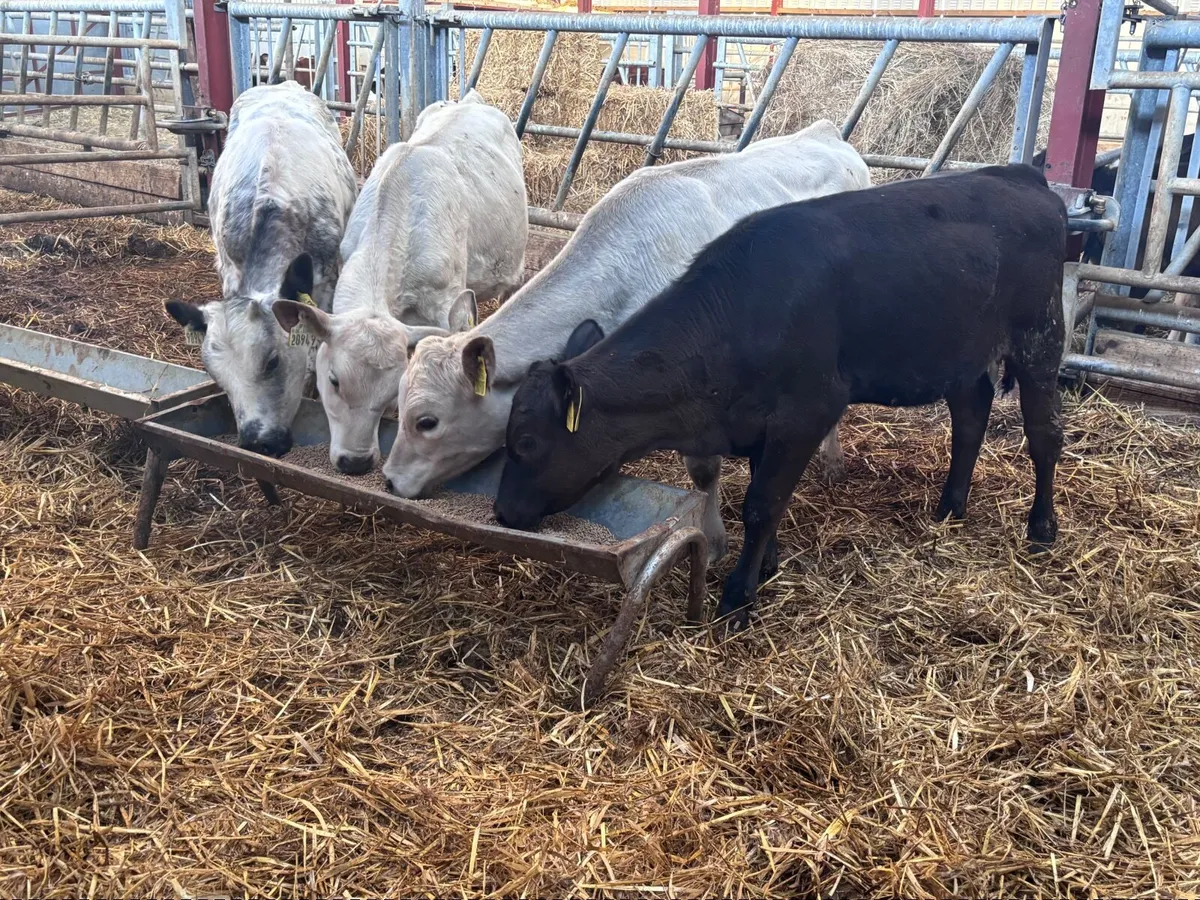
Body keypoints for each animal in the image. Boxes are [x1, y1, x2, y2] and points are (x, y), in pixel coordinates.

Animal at [272, 91, 527, 475]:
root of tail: (470, 99)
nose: (356, 462)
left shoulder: (448, 301)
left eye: (392, 390)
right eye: (334, 380)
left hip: (516, 264)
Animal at [382, 119, 871, 563]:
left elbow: (703, 470)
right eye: (397, 404)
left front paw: (713, 542)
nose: (389, 479)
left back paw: (831, 460)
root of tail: (824, 133)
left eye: (427, 421)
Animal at [494, 164, 1067, 628]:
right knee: (970, 417)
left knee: (1044, 434)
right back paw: (950, 508)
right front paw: (766, 565)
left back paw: (1041, 526)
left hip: (1040, 337)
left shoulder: (806, 412)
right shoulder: (755, 424)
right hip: (962, 352)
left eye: (525, 441)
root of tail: (1020, 175)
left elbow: (761, 505)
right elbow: (763, 497)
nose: (500, 511)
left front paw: (737, 598)